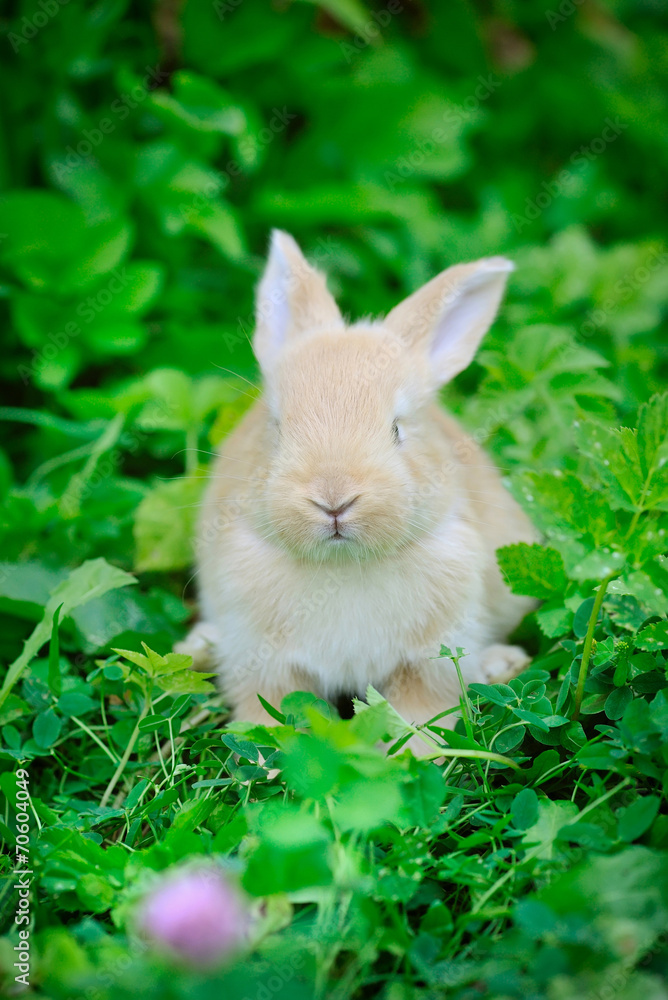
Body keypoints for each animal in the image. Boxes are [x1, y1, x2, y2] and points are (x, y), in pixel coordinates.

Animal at [177, 230, 537, 750]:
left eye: (397, 429)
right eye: (277, 428)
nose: (334, 499)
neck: (341, 566)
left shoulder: (429, 663)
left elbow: (420, 714)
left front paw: (414, 756)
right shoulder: (265, 663)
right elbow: (272, 710)